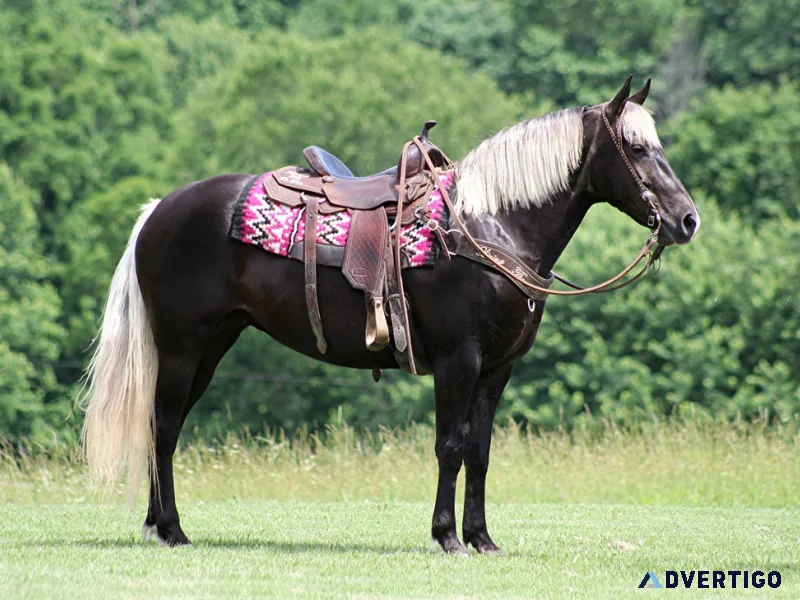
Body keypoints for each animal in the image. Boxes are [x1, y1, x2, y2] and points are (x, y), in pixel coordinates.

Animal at [80, 77, 699, 553]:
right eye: (635, 148)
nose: (687, 220)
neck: (489, 228)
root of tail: (159, 210)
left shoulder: (497, 369)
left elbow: (479, 452)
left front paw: (481, 538)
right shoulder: (458, 360)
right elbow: (450, 446)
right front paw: (447, 537)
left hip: (212, 345)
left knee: (165, 426)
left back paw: (158, 526)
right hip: (183, 346)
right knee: (163, 427)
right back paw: (172, 530)